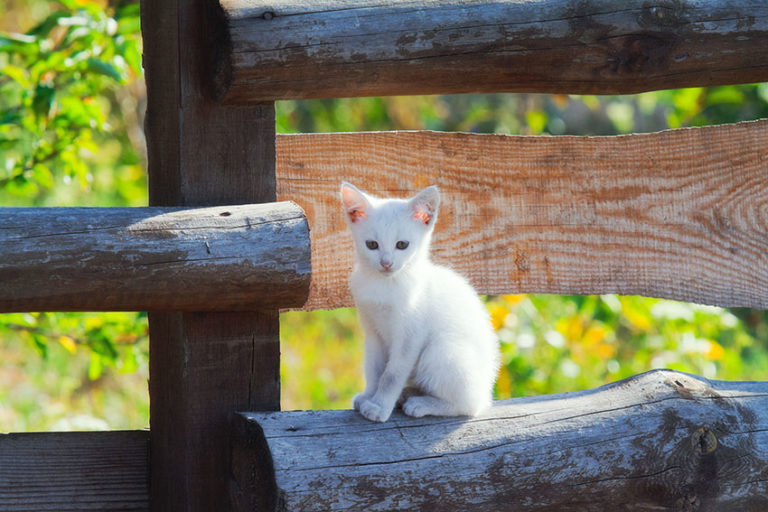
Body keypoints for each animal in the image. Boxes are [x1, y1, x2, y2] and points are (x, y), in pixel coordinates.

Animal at [340, 182, 498, 422]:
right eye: (372, 244)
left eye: (402, 245)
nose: (386, 263)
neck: (385, 285)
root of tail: (486, 390)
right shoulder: (373, 332)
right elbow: (375, 369)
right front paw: (369, 396)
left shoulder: (410, 336)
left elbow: (391, 375)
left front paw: (378, 406)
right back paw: (410, 394)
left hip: (442, 349)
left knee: (469, 406)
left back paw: (422, 404)